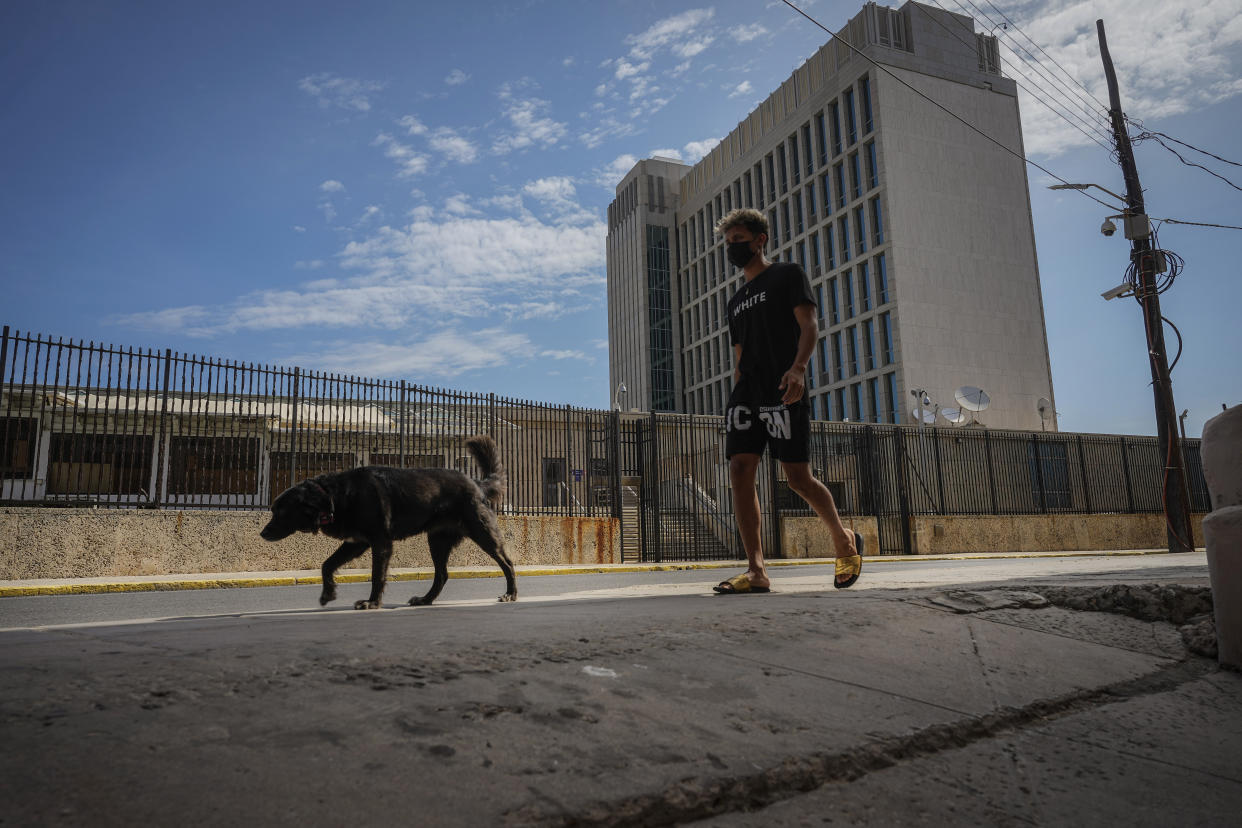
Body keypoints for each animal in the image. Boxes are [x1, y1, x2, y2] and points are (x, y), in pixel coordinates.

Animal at [259, 439, 516, 608]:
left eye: (281, 511)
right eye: (273, 510)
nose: (262, 533)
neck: (334, 496)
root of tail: (477, 484)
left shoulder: (380, 543)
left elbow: (376, 575)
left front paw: (372, 602)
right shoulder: (356, 543)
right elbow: (327, 565)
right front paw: (328, 593)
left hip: (482, 533)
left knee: (508, 562)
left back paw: (510, 594)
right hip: (437, 541)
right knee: (442, 574)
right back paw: (425, 600)